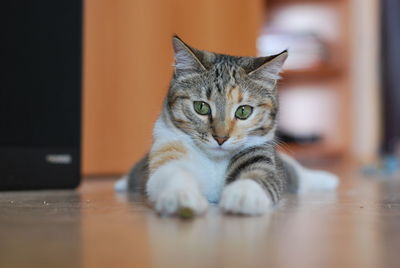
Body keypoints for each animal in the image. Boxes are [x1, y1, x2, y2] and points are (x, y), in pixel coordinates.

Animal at [114, 35, 340, 216]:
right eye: (201, 107)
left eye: (243, 111)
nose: (220, 138)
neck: (215, 160)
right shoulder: (167, 152)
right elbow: (172, 174)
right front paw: (180, 197)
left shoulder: (260, 155)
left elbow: (259, 175)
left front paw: (243, 196)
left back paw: (328, 179)